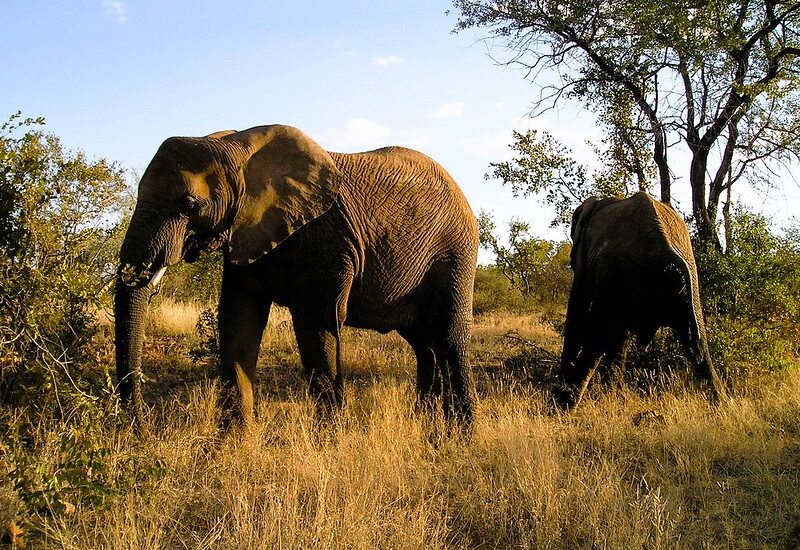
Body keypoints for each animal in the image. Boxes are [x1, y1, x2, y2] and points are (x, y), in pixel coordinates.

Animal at [111, 126, 476, 432]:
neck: (237, 148)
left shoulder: (326, 240)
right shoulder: (246, 233)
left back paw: (461, 436)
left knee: (449, 336)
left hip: (455, 252)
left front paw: (329, 446)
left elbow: (317, 327)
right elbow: (238, 322)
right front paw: (235, 445)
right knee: (424, 344)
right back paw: (426, 429)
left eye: (189, 205)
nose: (141, 430)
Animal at [556, 193, 724, 410]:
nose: (562, 377)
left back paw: (561, 404)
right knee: (698, 344)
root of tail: (666, 249)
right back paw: (723, 406)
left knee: (597, 339)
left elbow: (580, 303)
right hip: (685, 286)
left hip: (622, 273)